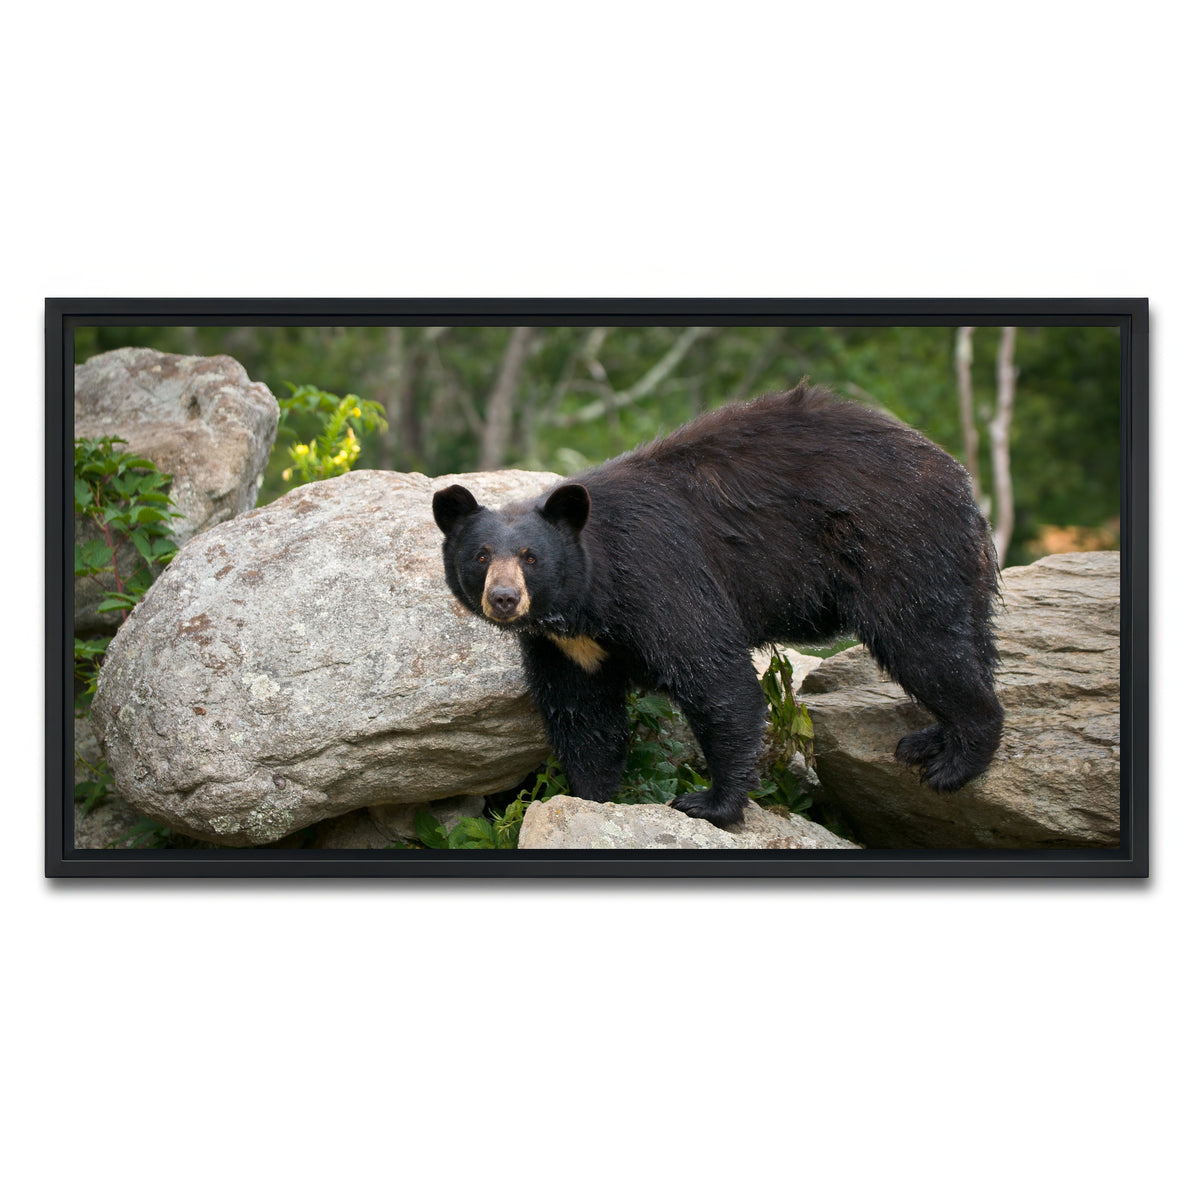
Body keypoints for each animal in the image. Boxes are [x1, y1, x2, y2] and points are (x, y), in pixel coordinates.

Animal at [433, 382, 1003, 829]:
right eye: (481, 555)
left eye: (530, 557)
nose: (504, 598)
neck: (587, 602)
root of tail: (958, 479)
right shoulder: (564, 647)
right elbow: (583, 716)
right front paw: (591, 796)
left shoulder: (659, 577)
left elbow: (715, 680)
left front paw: (710, 803)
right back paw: (930, 740)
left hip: (899, 547)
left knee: (925, 644)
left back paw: (955, 761)